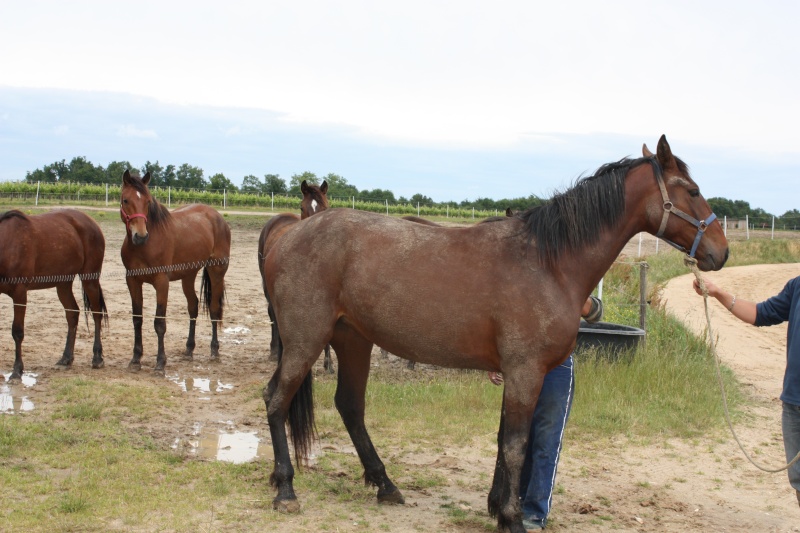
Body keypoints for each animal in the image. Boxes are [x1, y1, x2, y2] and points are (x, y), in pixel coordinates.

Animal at [0, 208, 108, 378]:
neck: (6, 243)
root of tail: (90, 222)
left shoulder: (19, 293)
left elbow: (17, 331)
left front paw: (17, 370)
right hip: (63, 284)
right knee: (72, 314)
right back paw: (66, 358)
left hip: (90, 278)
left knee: (96, 313)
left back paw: (97, 357)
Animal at [119, 168, 231, 372]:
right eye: (126, 200)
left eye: (148, 201)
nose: (141, 236)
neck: (146, 246)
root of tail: (217, 216)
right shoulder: (132, 281)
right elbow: (137, 319)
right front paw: (136, 359)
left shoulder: (161, 282)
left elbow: (159, 322)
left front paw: (160, 363)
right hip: (188, 276)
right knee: (193, 307)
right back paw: (189, 349)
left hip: (217, 272)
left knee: (213, 309)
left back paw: (214, 350)